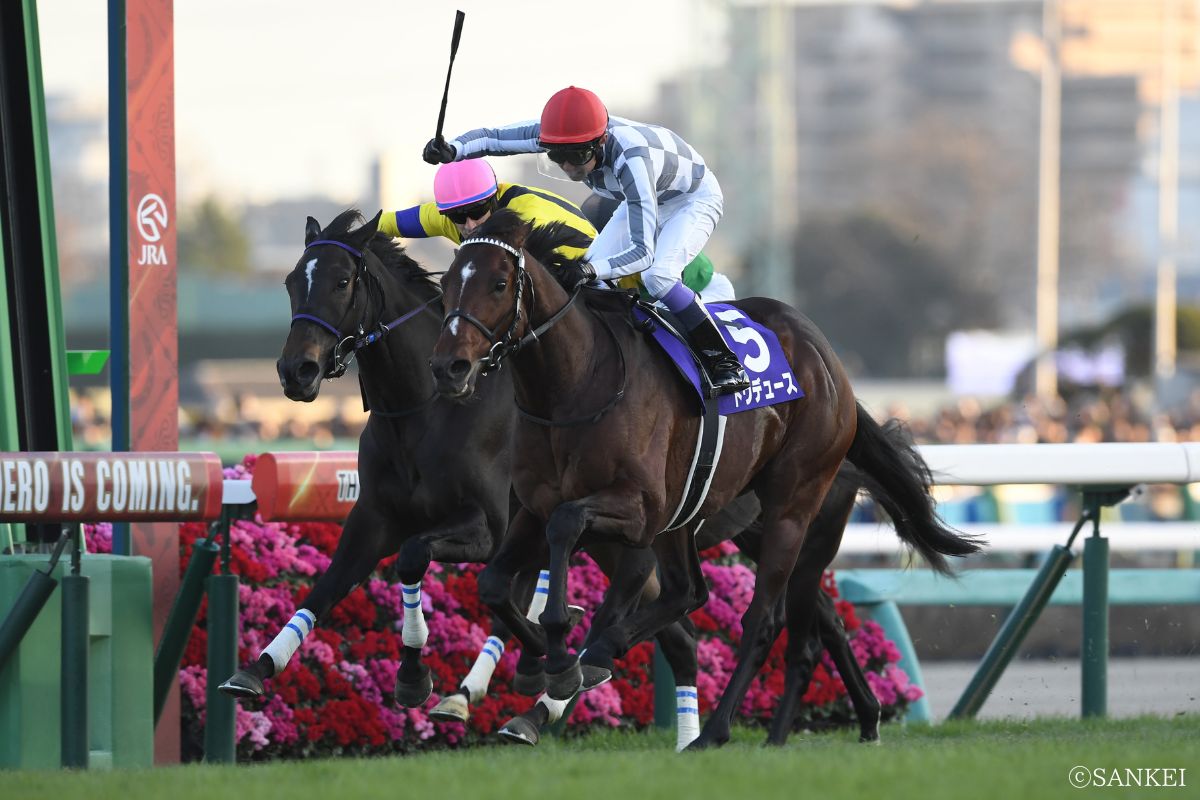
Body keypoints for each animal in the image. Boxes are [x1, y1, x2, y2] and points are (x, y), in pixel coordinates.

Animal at [429, 210, 980, 749]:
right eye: (447, 283)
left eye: (500, 283)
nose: (449, 368)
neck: (576, 384)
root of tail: (830, 363)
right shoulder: (534, 505)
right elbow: (494, 582)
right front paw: (546, 662)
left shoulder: (638, 509)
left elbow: (566, 529)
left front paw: (561, 654)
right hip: (688, 516)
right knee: (692, 592)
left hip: (792, 508)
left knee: (764, 621)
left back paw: (713, 730)